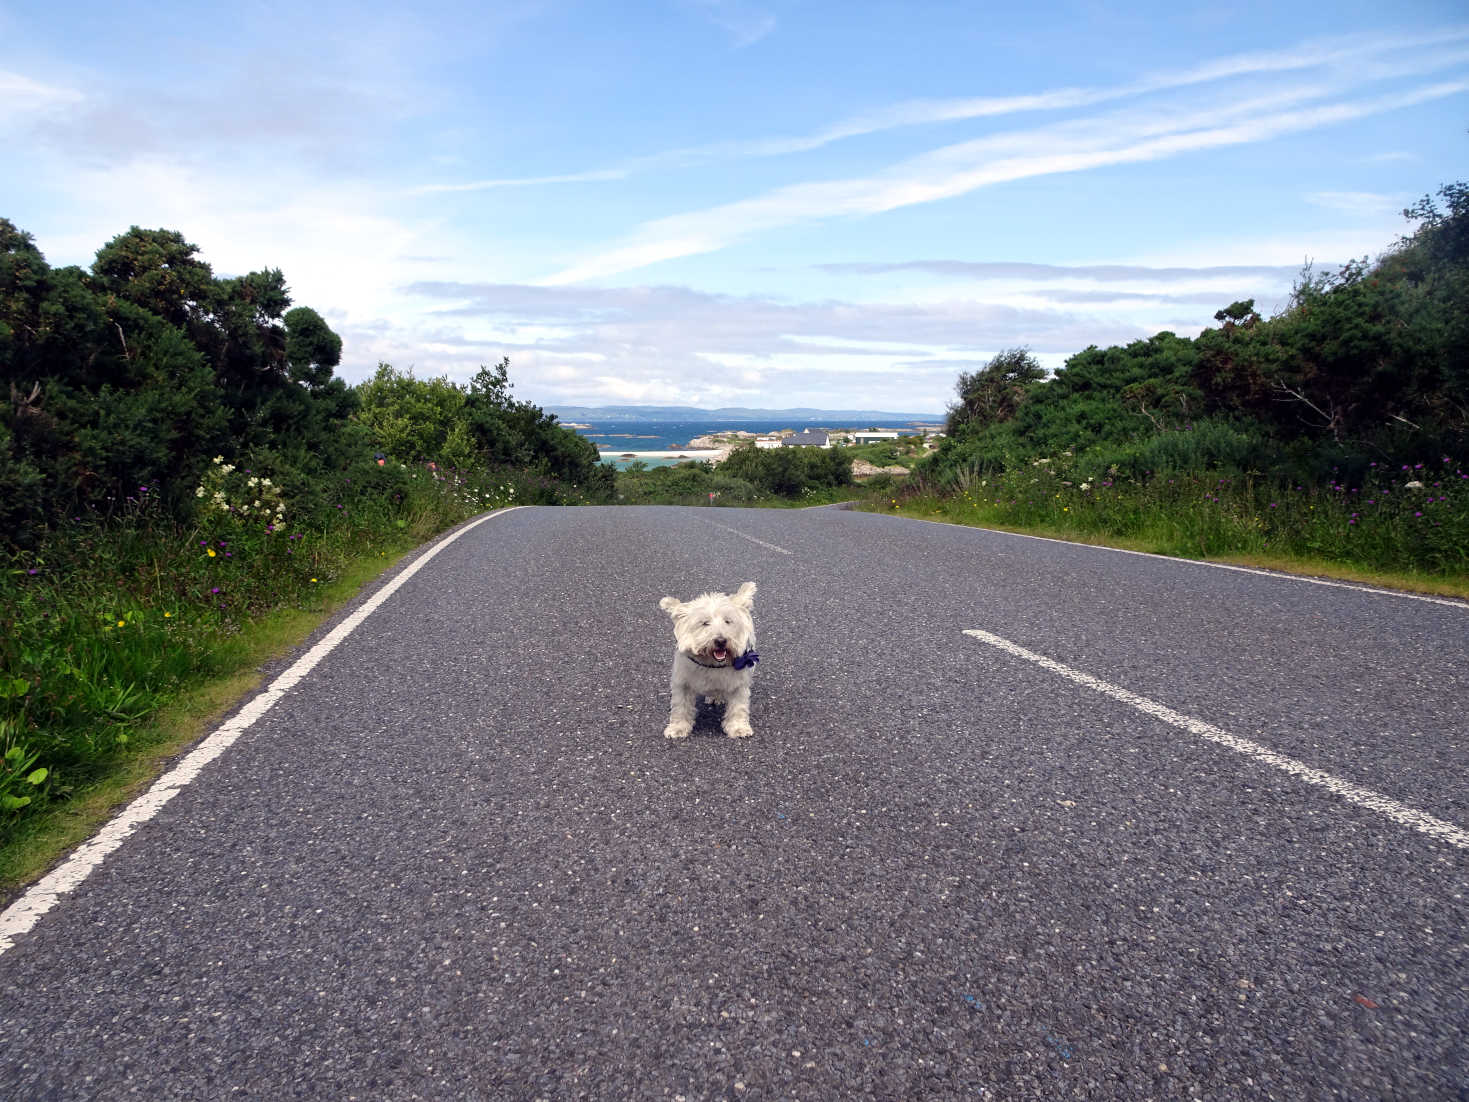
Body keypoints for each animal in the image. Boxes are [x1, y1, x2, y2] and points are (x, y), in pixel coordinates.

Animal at [663, 581, 763, 746]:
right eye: (704, 623)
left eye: (728, 621)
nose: (721, 641)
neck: (712, 664)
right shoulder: (682, 683)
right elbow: (680, 706)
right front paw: (678, 728)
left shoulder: (739, 684)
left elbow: (738, 707)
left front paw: (738, 728)